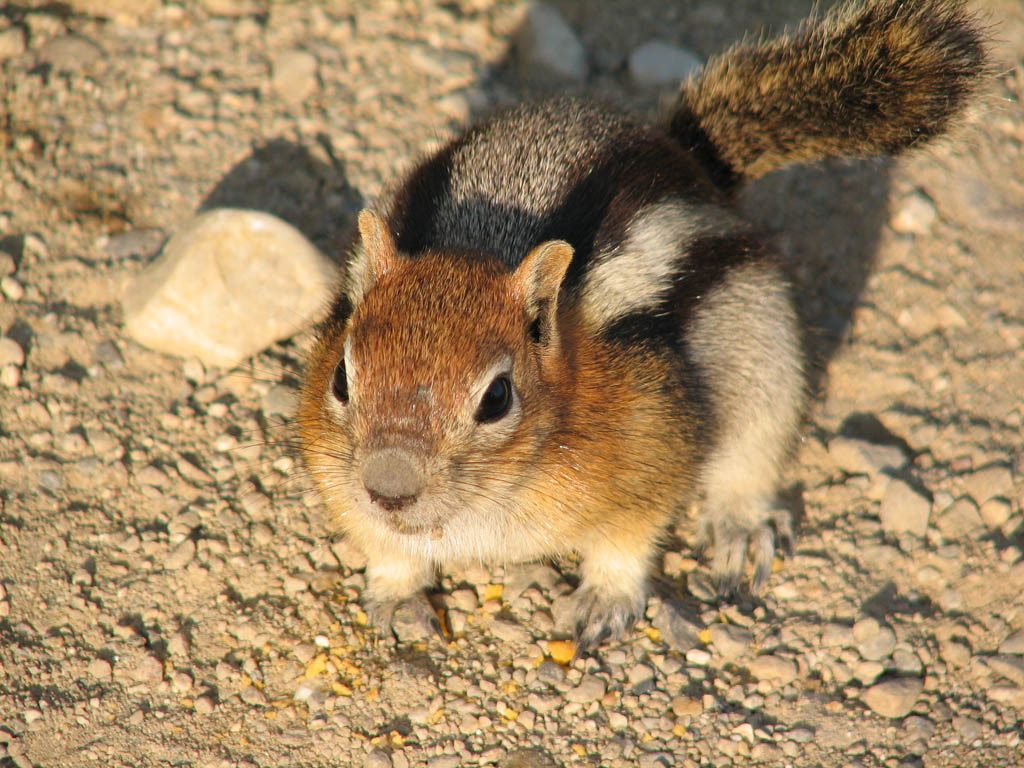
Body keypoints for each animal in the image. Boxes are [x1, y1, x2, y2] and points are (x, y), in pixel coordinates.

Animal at [299, 0, 987, 651]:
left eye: (496, 398)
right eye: (341, 379)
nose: (388, 488)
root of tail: (687, 158)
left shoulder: (652, 449)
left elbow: (628, 540)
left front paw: (603, 601)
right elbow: (385, 548)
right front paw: (398, 596)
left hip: (764, 353)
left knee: (752, 459)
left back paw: (740, 527)